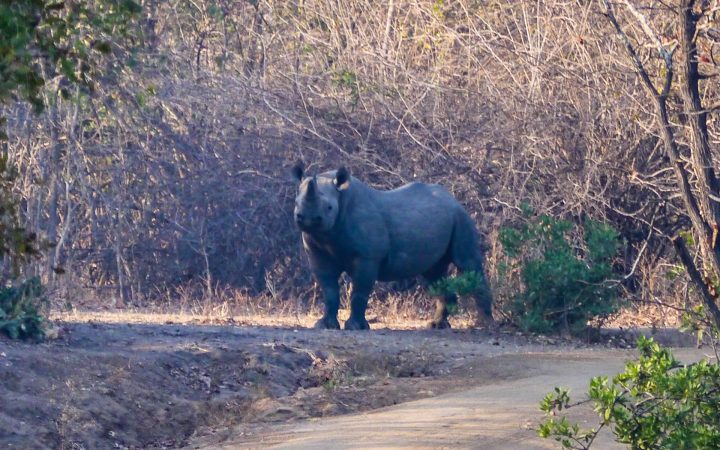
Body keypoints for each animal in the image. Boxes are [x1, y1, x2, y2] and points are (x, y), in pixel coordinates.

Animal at [291, 163, 493, 330]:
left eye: (329, 207)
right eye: (296, 203)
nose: (308, 219)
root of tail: (453, 199)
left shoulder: (368, 258)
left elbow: (359, 291)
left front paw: (356, 327)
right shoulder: (318, 253)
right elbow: (329, 290)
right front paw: (324, 325)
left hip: (461, 218)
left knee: (467, 263)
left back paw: (485, 324)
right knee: (433, 275)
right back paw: (437, 325)